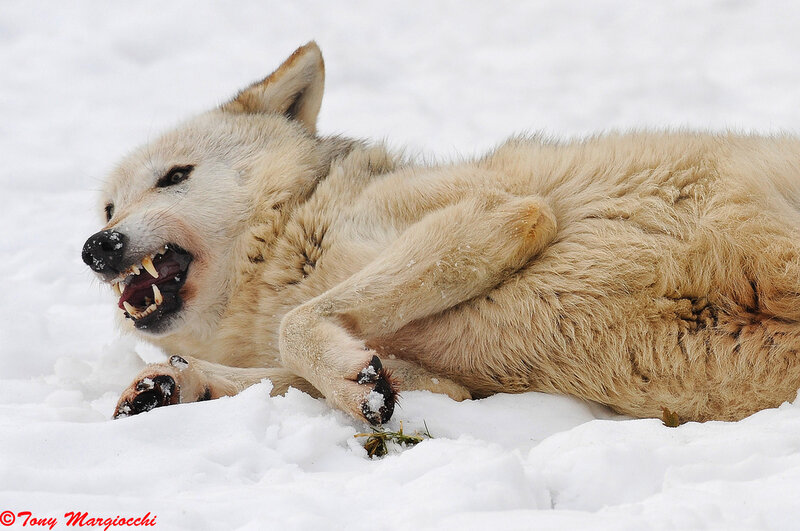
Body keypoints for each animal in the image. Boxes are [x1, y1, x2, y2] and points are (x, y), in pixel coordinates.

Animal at [82, 42, 800, 425]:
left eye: (175, 176)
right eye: (108, 207)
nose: (98, 247)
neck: (292, 246)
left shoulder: (498, 208)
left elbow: (298, 330)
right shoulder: (458, 386)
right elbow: (302, 373)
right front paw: (167, 387)